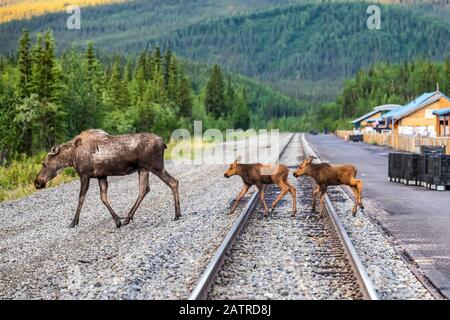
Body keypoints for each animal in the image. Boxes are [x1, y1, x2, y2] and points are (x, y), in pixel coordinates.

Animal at [34, 129, 181, 229]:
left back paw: (177, 214)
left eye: (44, 163)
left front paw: (73, 222)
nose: (37, 182)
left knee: (173, 182)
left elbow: (81, 198)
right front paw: (118, 220)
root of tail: (164, 143)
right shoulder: (101, 175)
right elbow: (103, 197)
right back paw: (128, 218)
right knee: (144, 189)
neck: (71, 157)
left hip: (155, 166)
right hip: (143, 169)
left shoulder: (85, 174)